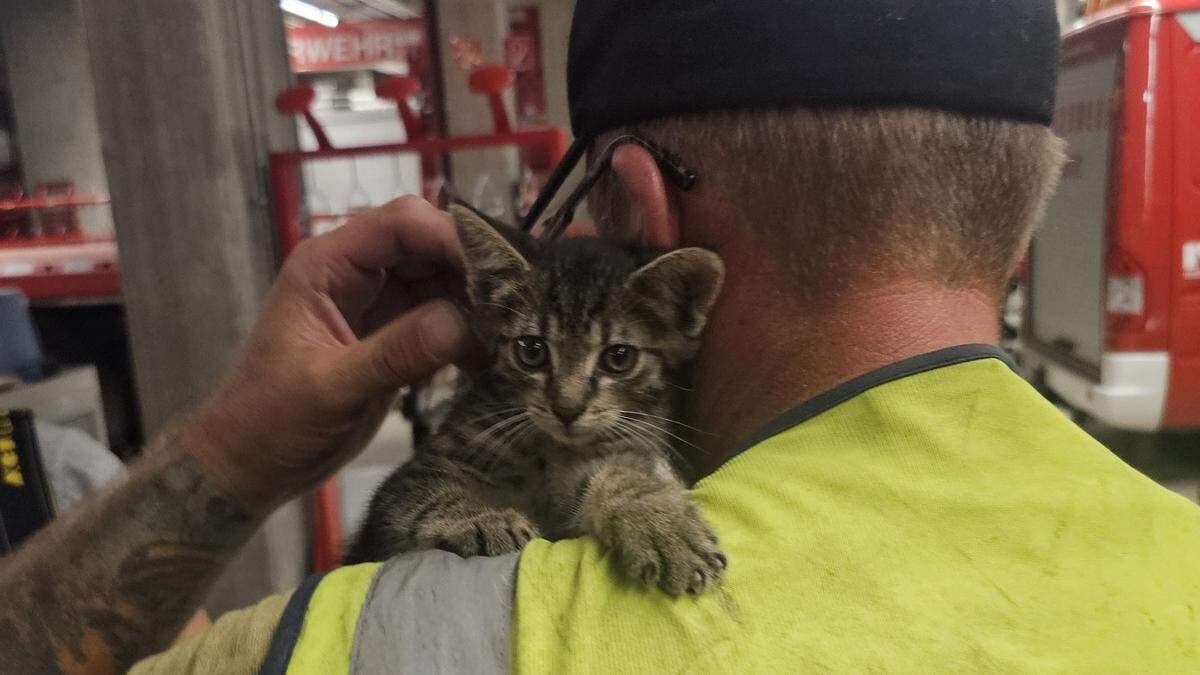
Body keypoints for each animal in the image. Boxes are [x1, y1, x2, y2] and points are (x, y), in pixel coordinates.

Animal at [343, 205, 724, 593]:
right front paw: (486, 519)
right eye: (532, 351)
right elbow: (424, 496)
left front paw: (661, 523)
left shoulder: (627, 445)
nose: (567, 409)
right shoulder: (407, 484)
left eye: (619, 358)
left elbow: (626, 472)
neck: (551, 450)